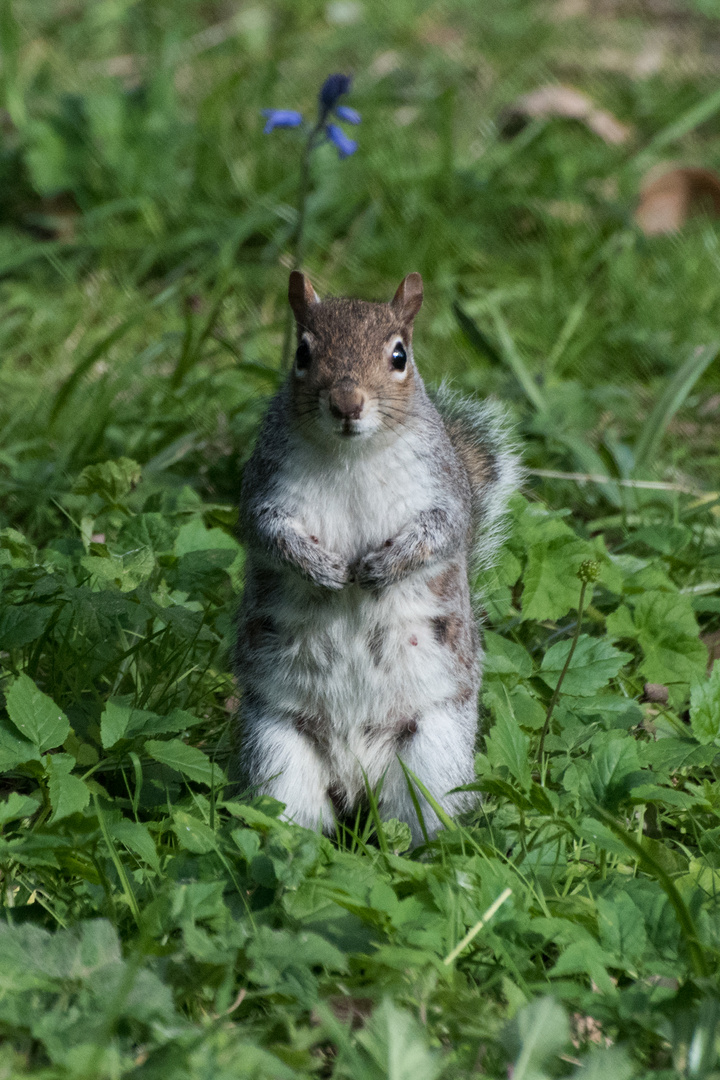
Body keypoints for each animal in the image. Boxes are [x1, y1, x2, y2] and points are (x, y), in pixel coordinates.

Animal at [234, 272, 520, 842]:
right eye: (302, 353)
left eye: (399, 355)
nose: (347, 403)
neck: (352, 455)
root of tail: (356, 776)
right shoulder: (263, 487)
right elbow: (267, 532)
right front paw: (319, 567)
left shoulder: (443, 488)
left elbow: (443, 531)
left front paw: (382, 567)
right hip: (277, 751)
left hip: (433, 755)